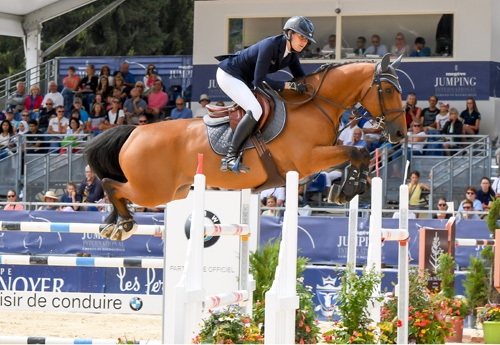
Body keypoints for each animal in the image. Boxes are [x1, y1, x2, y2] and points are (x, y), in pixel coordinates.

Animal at [85, 53, 406, 239]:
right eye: (389, 90)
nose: (400, 133)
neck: (315, 105)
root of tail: (135, 132)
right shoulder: (308, 159)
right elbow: (357, 151)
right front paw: (349, 189)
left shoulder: (319, 160)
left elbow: (358, 152)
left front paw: (347, 188)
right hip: (153, 190)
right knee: (112, 185)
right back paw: (123, 223)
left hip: (174, 191)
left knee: (114, 186)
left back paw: (114, 223)